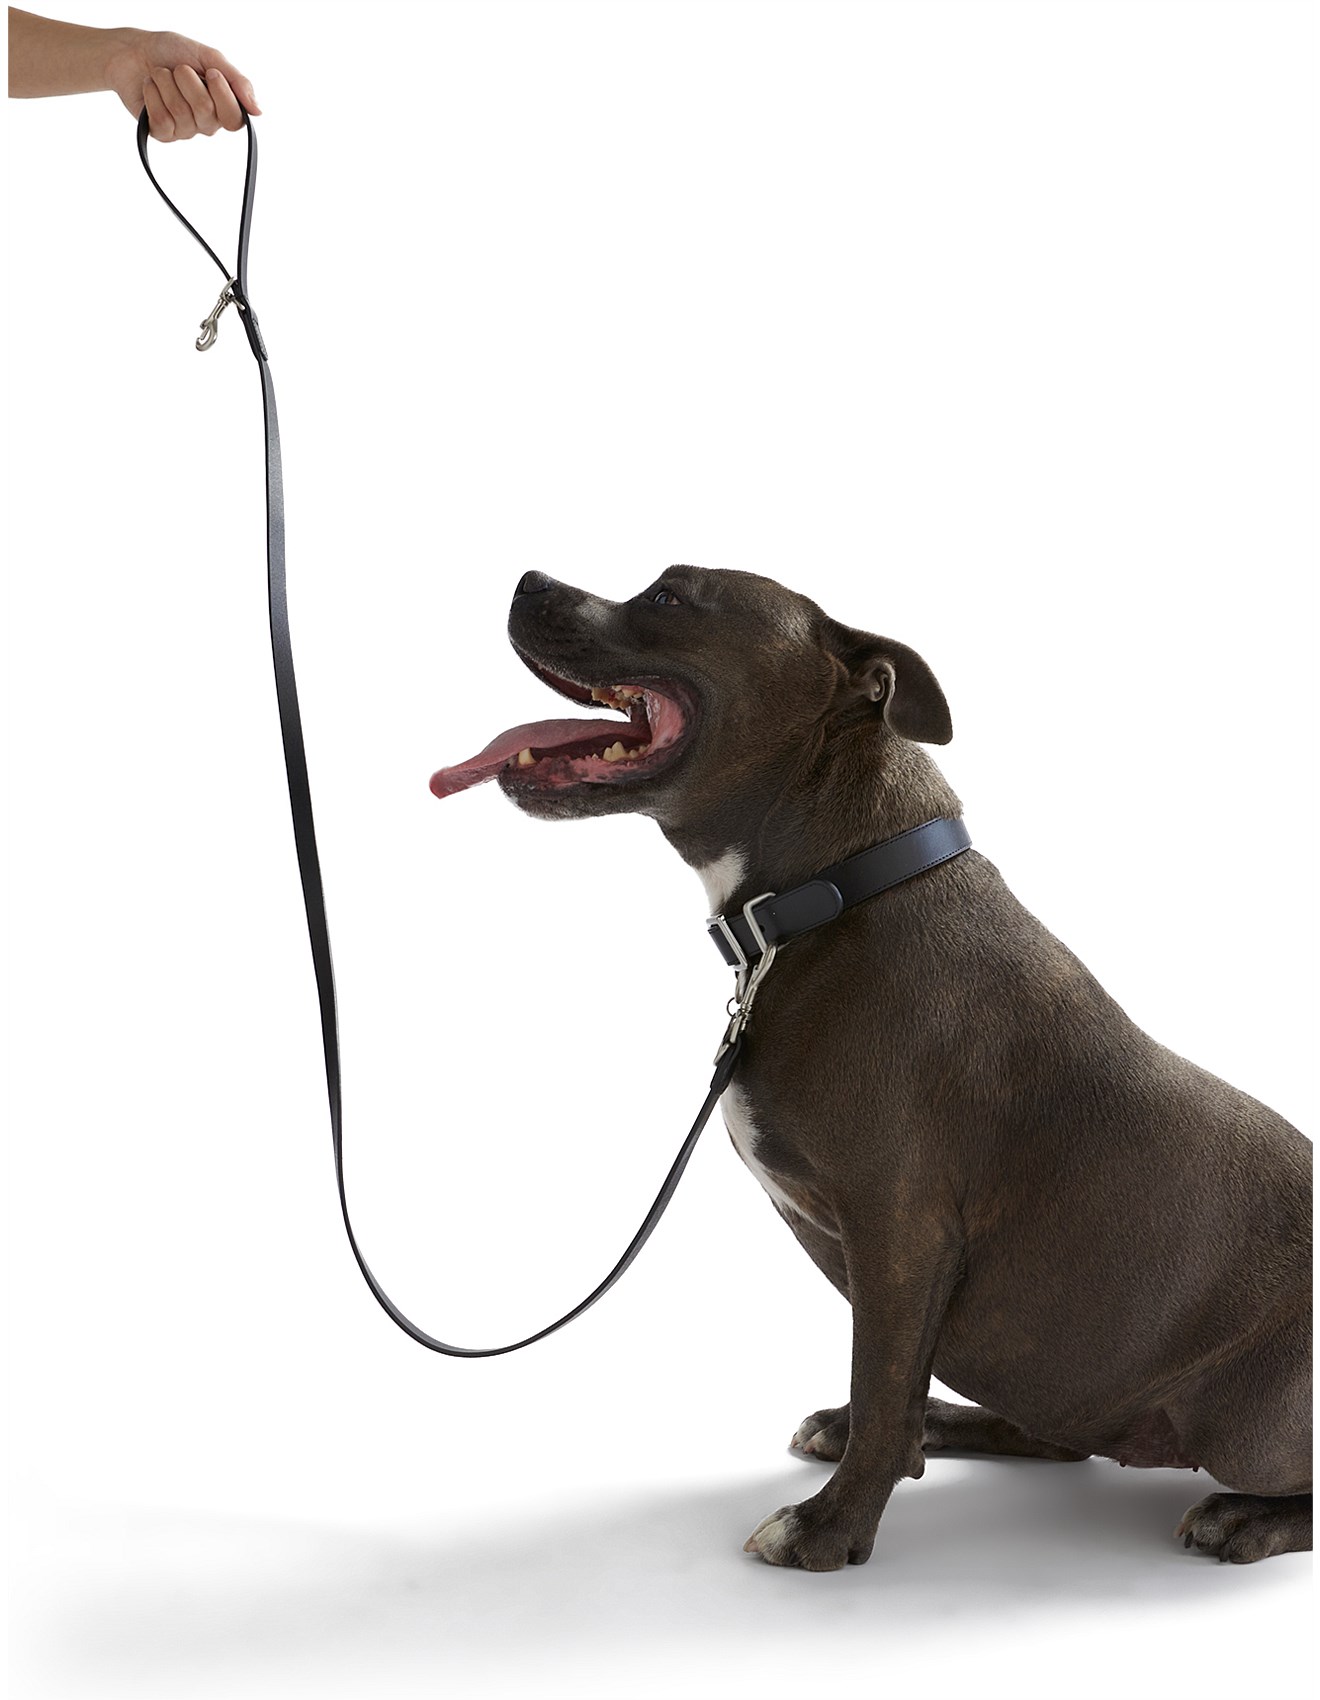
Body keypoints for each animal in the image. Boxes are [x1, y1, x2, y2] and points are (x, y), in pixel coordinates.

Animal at [431, 565, 1312, 1570]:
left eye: (670, 597)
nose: (528, 579)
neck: (837, 890)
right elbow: (885, 1385)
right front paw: (863, 1454)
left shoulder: (899, 1228)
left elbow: (885, 1385)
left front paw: (829, 1528)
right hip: (1058, 1364)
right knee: (1057, 1430)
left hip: (1244, 1417)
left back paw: (1246, 1514)